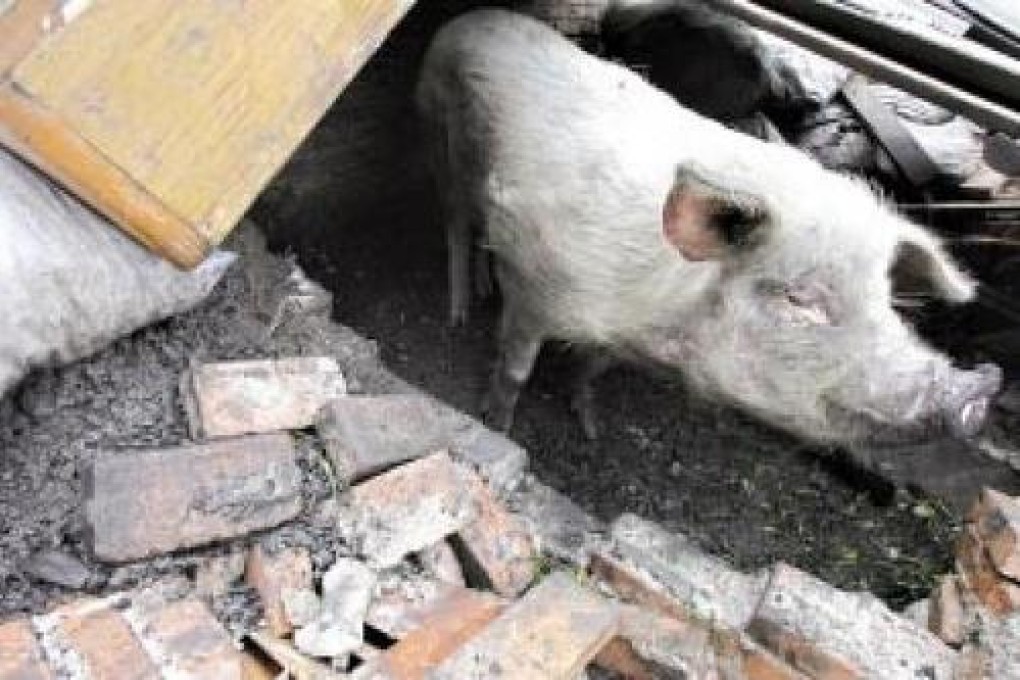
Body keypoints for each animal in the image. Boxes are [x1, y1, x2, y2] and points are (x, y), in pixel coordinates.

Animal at [416, 8, 1001, 444]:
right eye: (799, 299)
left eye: (886, 301)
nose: (977, 389)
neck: (660, 320)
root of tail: (468, 19)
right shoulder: (537, 288)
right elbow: (516, 369)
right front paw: (497, 424)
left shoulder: (617, 339)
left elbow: (592, 367)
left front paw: (589, 424)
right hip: (440, 136)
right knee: (454, 223)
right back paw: (460, 311)